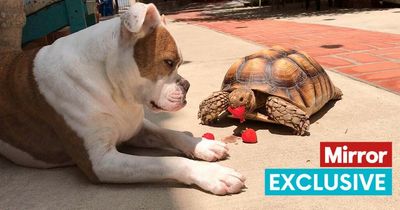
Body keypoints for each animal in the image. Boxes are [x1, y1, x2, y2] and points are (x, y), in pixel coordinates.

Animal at [0, 2, 244, 195]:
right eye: (168, 62)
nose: (186, 85)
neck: (110, 84)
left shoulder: (135, 128)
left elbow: (169, 133)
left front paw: (203, 145)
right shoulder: (101, 162)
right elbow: (166, 162)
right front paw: (213, 175)